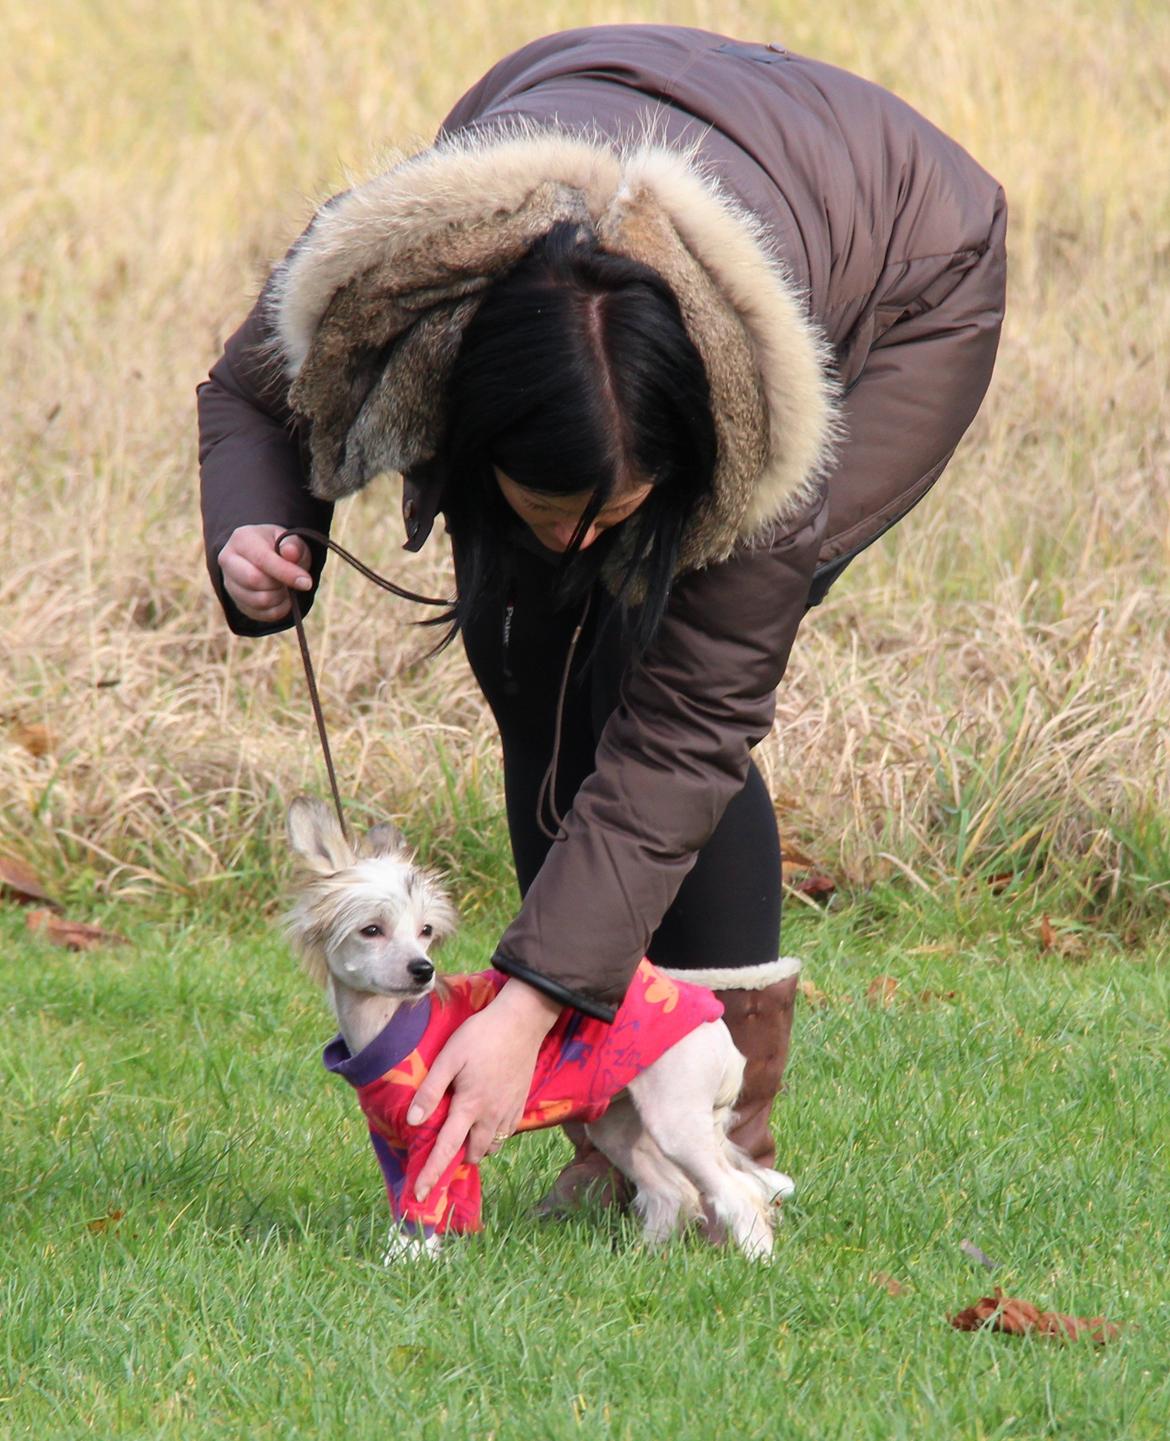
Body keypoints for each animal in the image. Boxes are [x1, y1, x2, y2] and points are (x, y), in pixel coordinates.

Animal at [283, 795, 795, 1256]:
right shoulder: (391, 1144)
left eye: (425, 931)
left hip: (676, 1121)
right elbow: (401, 1202)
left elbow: (423, 1206)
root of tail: (715, 1022)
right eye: (371, 930)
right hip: (619, 1123)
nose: (422, 970)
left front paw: (407, 1266)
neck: (388, 1025)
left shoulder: (440, 1140)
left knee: (738, 1194)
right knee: (672, 1191)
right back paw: (644, 1260)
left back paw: (757, 1262)